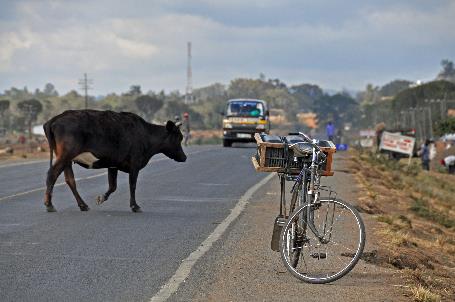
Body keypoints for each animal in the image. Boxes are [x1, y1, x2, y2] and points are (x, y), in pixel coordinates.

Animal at [41, 109, 187, 212]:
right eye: (179, 137)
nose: (184, 157)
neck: (145, 134)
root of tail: (56, 118)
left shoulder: (113, 165)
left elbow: (113, 186)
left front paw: (101, 198)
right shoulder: (135, 164)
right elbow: (132, 185)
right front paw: (134, 206)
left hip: (67, 159)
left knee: (70, 180)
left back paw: (83, 205)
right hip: (65, 156)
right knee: (52, 174)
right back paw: (49, 204)